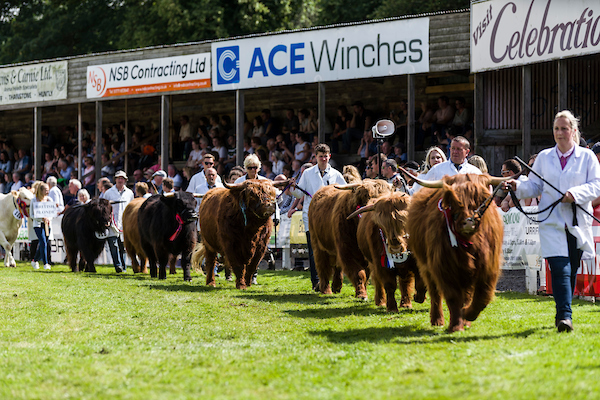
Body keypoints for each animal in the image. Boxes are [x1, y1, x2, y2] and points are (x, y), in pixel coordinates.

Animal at [408, 173, 506, 332]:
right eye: (454, 200)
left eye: (480, 199)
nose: (469, 222)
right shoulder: (443, 266)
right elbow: (453, 297)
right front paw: (455, 326)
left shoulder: (489, 266)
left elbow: (482, 296)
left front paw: (467, 315)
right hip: (426, 264)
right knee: (435, 292)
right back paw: (437, 320)